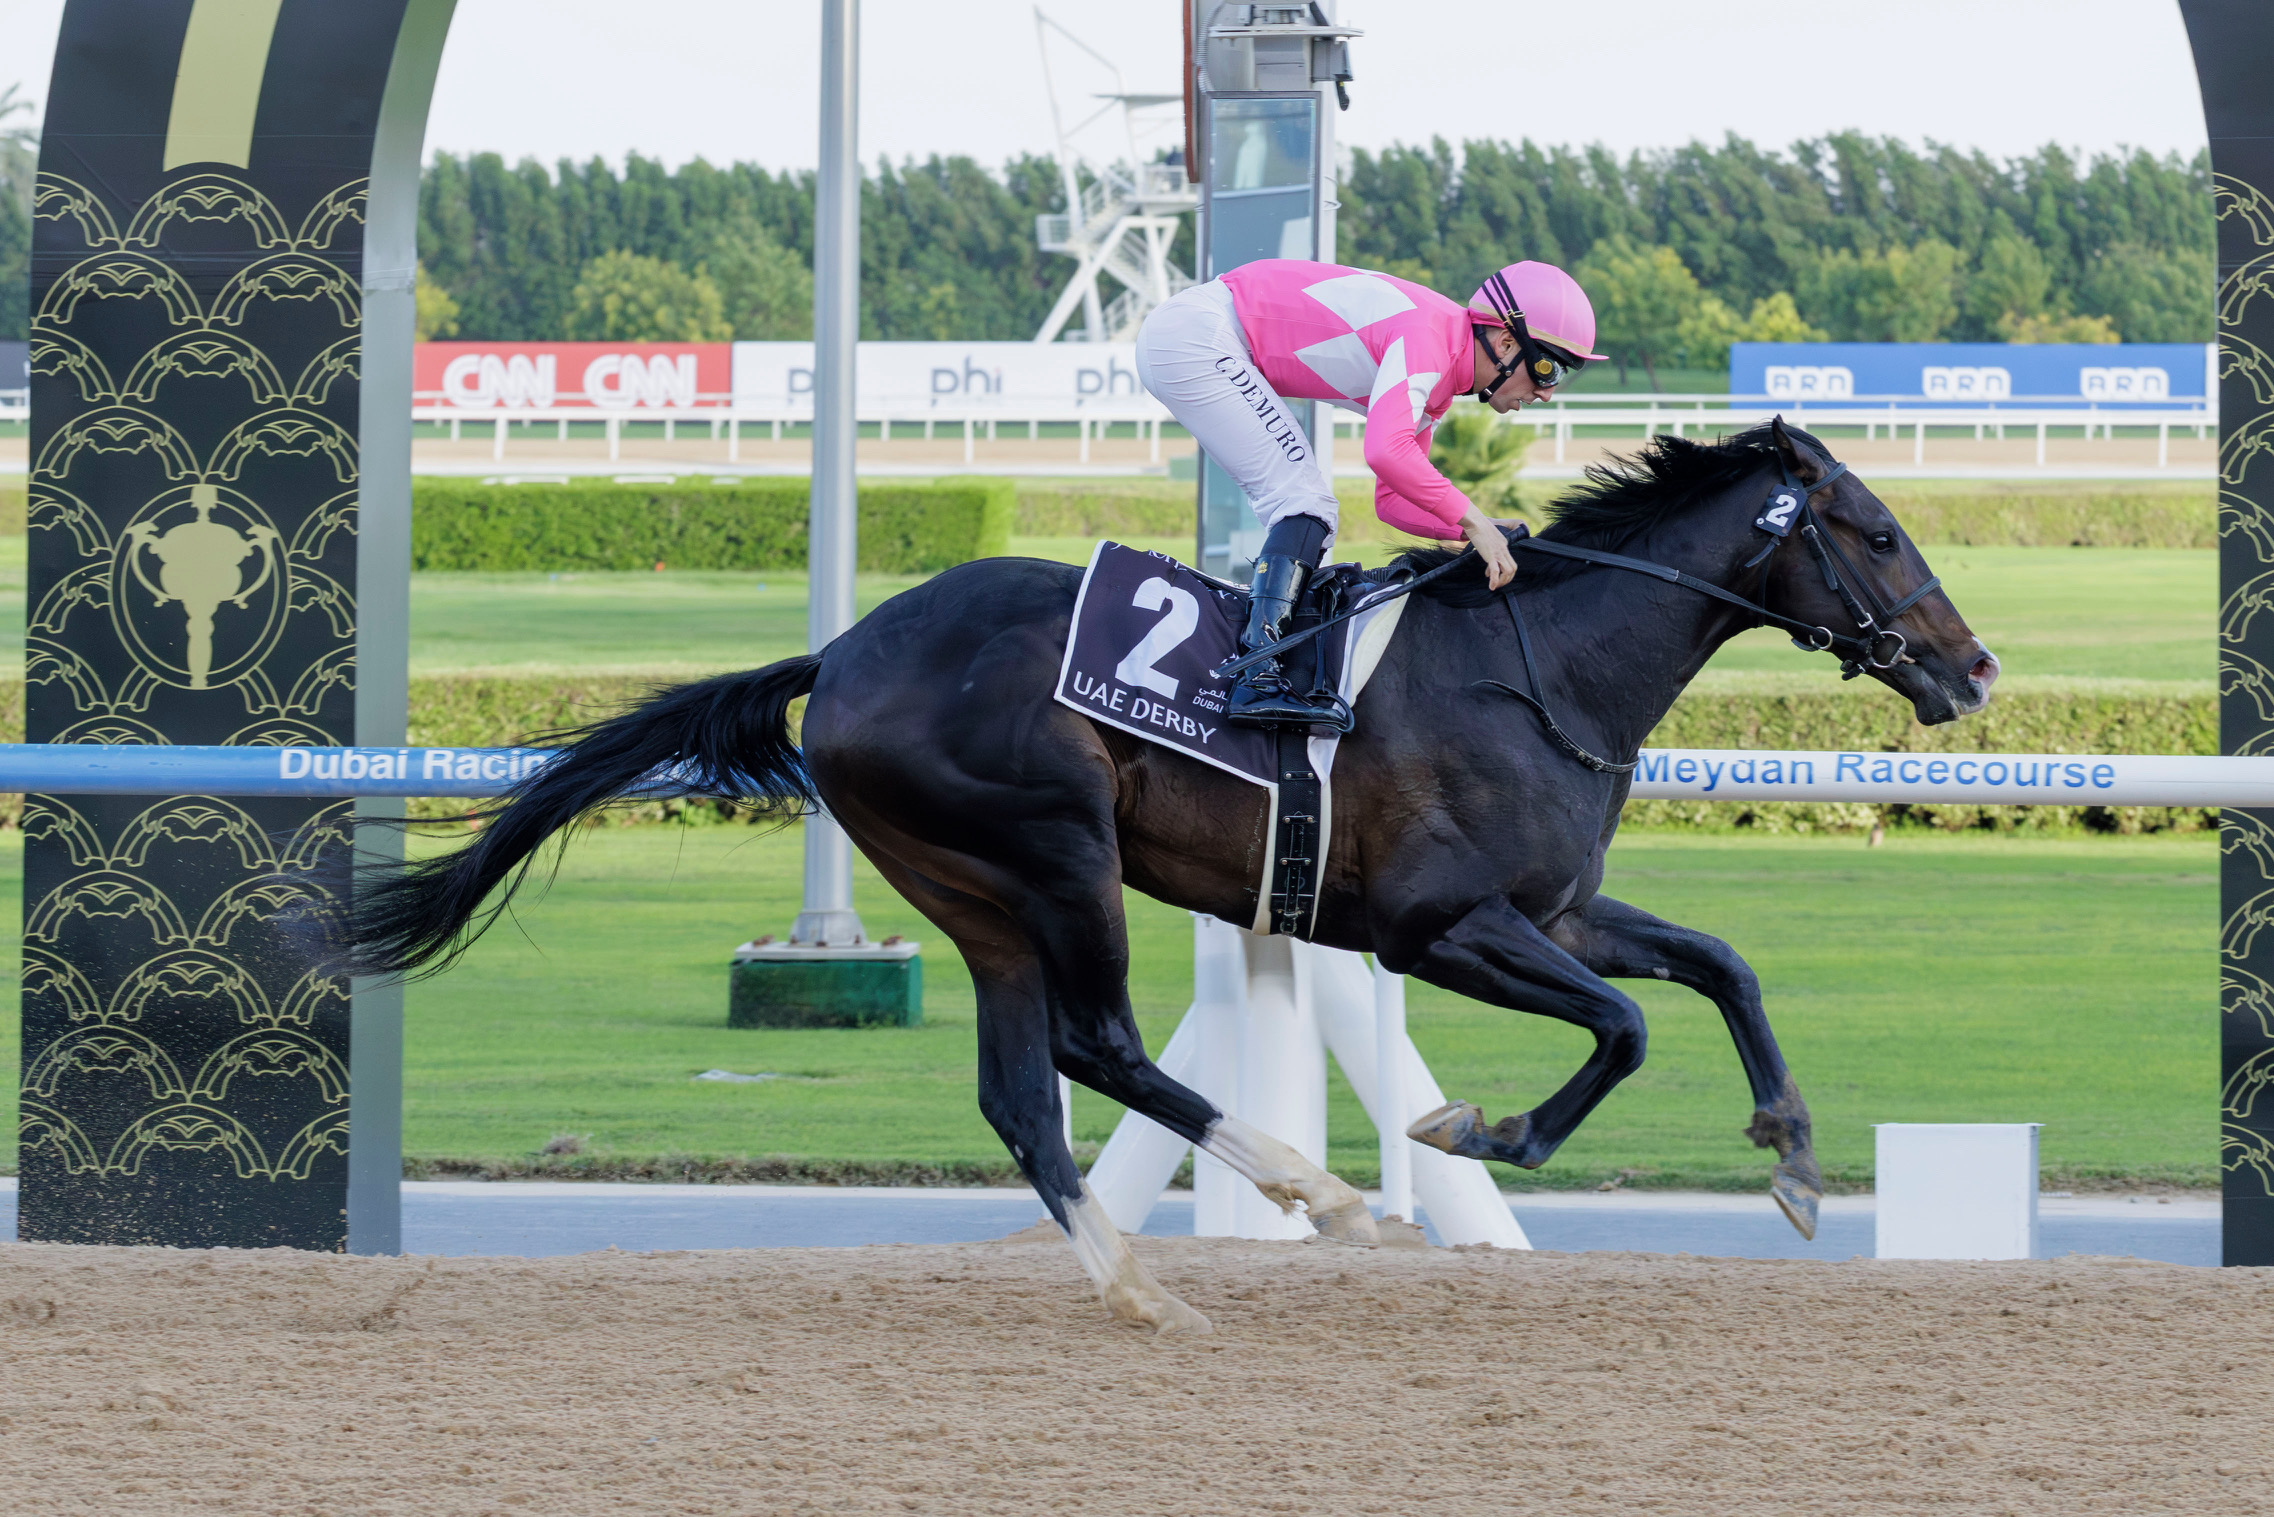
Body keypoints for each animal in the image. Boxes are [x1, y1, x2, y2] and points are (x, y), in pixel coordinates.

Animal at [346, 419, 1997, 1334]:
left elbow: (1717, 968)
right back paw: (1317, 1192)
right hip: (1055, 850)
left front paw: (1791, 1157)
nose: (1974, 669)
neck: (1540, 666)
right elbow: (1628, 1026)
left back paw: (1147, 1283)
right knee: (1098, 1045)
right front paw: (1483, 1129)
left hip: (970, 892)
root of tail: (844, 651)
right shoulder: (1434, 926)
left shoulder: (1554, 910)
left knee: (1025, 1093)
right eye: (1876, 529)